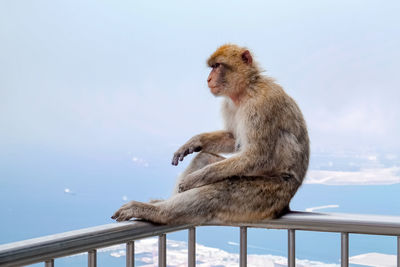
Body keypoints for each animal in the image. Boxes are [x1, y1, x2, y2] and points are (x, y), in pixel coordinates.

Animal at [111, 45, 310, 225]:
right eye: (212, 67)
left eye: (217, 66)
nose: (208, 79)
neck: (245, 91)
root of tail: (286, 203)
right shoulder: (229, 104)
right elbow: (233, 139)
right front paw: (195, 141)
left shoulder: (261, 104)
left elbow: (257, 155)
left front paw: (194, 179)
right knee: (204, 158)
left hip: (269, 194)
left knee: (221, 190)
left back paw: (157, 212)